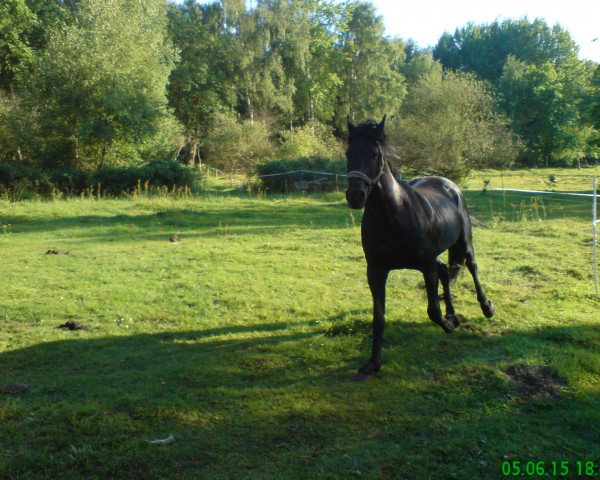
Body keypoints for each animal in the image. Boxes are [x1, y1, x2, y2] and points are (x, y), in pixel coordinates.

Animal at [344, 115, 494, 376]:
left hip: (463, 242)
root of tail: (449, 185)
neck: (393, 215)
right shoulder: (376, 270)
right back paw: (453, 313)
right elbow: (378, 317)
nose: (355, 195)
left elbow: (433, 310)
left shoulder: (425, 265)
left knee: (472, 266)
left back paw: (485, 308)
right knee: (445, 271)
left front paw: (448, 324)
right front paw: (373, 363)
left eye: (375, 154)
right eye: (347, 152)